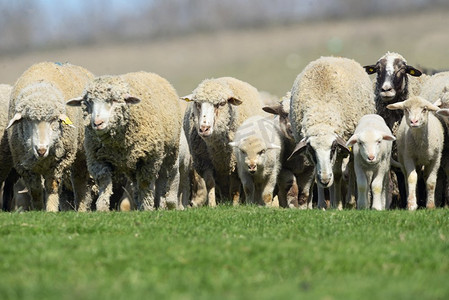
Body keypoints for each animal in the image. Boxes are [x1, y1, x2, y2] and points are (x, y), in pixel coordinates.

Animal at [6, 61, 93, 211]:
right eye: (28, 119)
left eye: (54, 120)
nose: (41, 149)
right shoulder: (25, 166)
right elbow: (35, 190)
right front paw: (38, 210)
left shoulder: (58, 163)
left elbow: (52, 186)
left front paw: (51, 210)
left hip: (82, 151)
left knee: (79, 181)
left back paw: (81, 208)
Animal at [66, 71, 180, 211]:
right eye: (88, 102)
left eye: (114, 100)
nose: (97, 123)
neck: (117, 144)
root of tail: (149, 73)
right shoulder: (97, 159)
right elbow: (104, 184)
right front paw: (102, 208)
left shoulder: (149, 159)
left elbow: (145, 184)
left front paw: (147, 207)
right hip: (132, 164)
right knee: (135, 183)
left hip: (169, 155)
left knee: (162, 180)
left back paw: (159, 204)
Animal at [180, 76, 266, 206]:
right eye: (197, 103)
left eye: (221, 103)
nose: (204, 128)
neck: (218, 149)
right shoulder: (205, 163)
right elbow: (210, 183)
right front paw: (212, 205)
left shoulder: (236, 164)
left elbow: (235, 189)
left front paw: (235, 205)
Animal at [288, 57, 374, 210]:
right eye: (312, 150)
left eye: (333, 148)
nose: (325, 179)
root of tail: (335, 57)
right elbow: (317, 175)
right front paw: (322, 204)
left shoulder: (341, 150)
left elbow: (338, 174)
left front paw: (338, 205)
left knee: (350, 169)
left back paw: (350, 201)